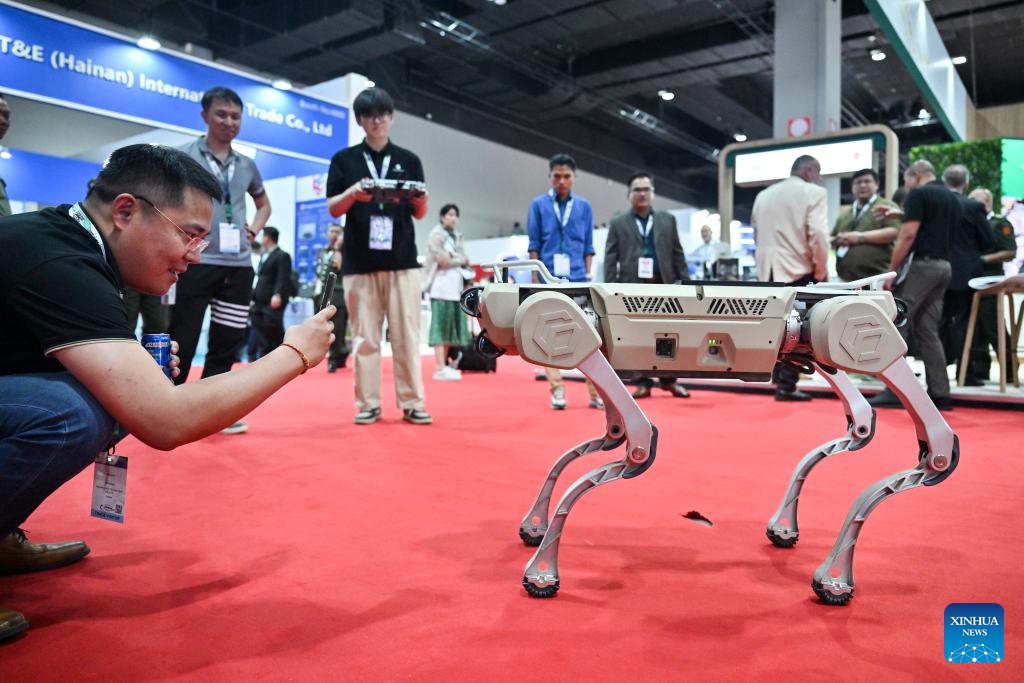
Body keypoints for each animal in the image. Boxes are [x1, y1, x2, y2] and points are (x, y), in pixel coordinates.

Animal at [464, 262, 958, 602]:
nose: (473, 301)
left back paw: (838, 565)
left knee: (934, 449)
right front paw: (537, 528)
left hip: (840, 330)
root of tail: (889, 304)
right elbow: (619, 435)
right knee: (862, 426)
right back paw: (788, 526)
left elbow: (636, 445)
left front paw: (542, 570)